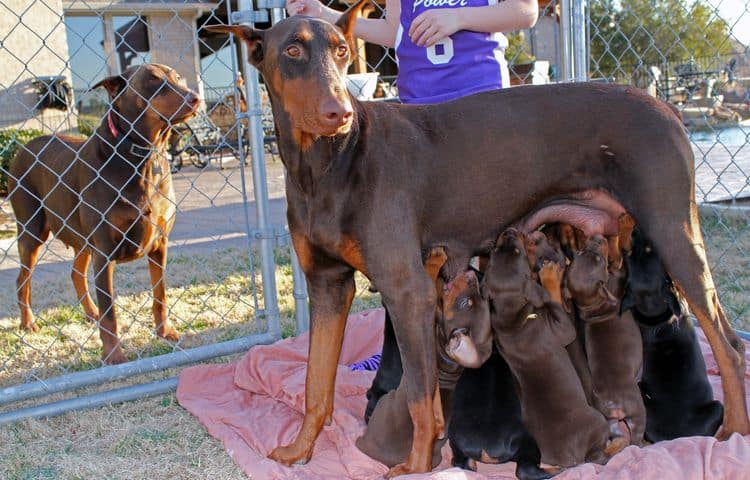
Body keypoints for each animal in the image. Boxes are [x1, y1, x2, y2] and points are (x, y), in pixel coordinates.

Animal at [11, 64, 200, 364]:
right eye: (153, 81)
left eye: (178, 77)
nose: (194, 97)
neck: (141, 156)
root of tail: (24, 147)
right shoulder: (104, 250)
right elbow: (111, 311)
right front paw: (113, 355)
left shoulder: (159, 243)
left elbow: (160, 294)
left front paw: (165, 332)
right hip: (32, 231)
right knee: (23, 280)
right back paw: (28, 323)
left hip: (80, 236)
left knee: (76, 273)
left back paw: (91, 314)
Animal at [484, 230, 612, 468]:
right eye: (519, 252)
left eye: (496, 252)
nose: (508, 231)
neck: (513, 315)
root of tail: (574, 460)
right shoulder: (561, 329)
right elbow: (554, 302)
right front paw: (549, 276)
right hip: (598, 422)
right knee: (600, 454)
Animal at [568, 232, 648, 446]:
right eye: (599, 260)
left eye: (582, 252)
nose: (597, 236)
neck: (594, 304)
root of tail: (612, 403)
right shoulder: (617, 277)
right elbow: (621, 268)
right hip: (637, 412)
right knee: (635, 438)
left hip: (612, 423)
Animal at [624, 227, 728, 440]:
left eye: (647, 250)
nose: (637, 229)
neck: (654, 314)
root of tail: (675, 438)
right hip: (717, 407)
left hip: (641, 389)